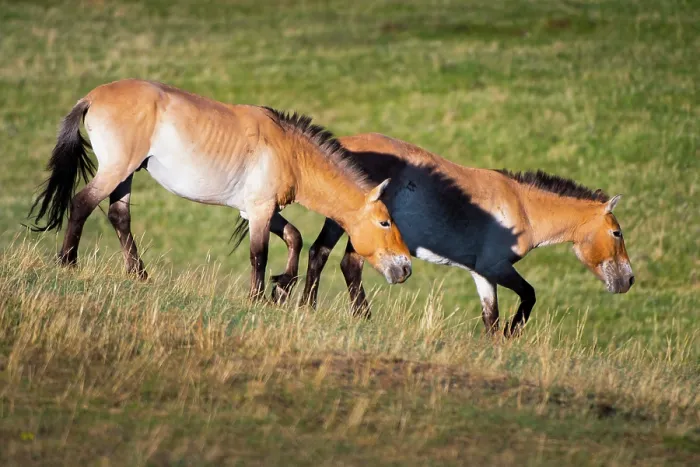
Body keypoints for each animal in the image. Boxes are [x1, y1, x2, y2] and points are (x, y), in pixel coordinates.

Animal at [27, 80, 412, 299]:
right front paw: (258, 297)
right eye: (384, 222)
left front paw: (281, 286)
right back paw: (68, 263)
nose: (405, 268)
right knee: (82, 203)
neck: (289, 150)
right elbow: (259, 254)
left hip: (126, 175)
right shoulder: (259, 210)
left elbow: (294, 238)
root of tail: (93, 96)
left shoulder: (258, 209)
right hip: (116, 169)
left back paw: (140, 276)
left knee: (119, 216)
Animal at [268, 133, 634, 336]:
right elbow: (528, 296)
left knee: (323, 255)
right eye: (617, 232)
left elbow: (490, 318)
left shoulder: (482, 274)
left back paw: (313, 308)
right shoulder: (497, 267)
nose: (628, 279)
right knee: (345, 264)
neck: (522, 206)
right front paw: (513, 333)